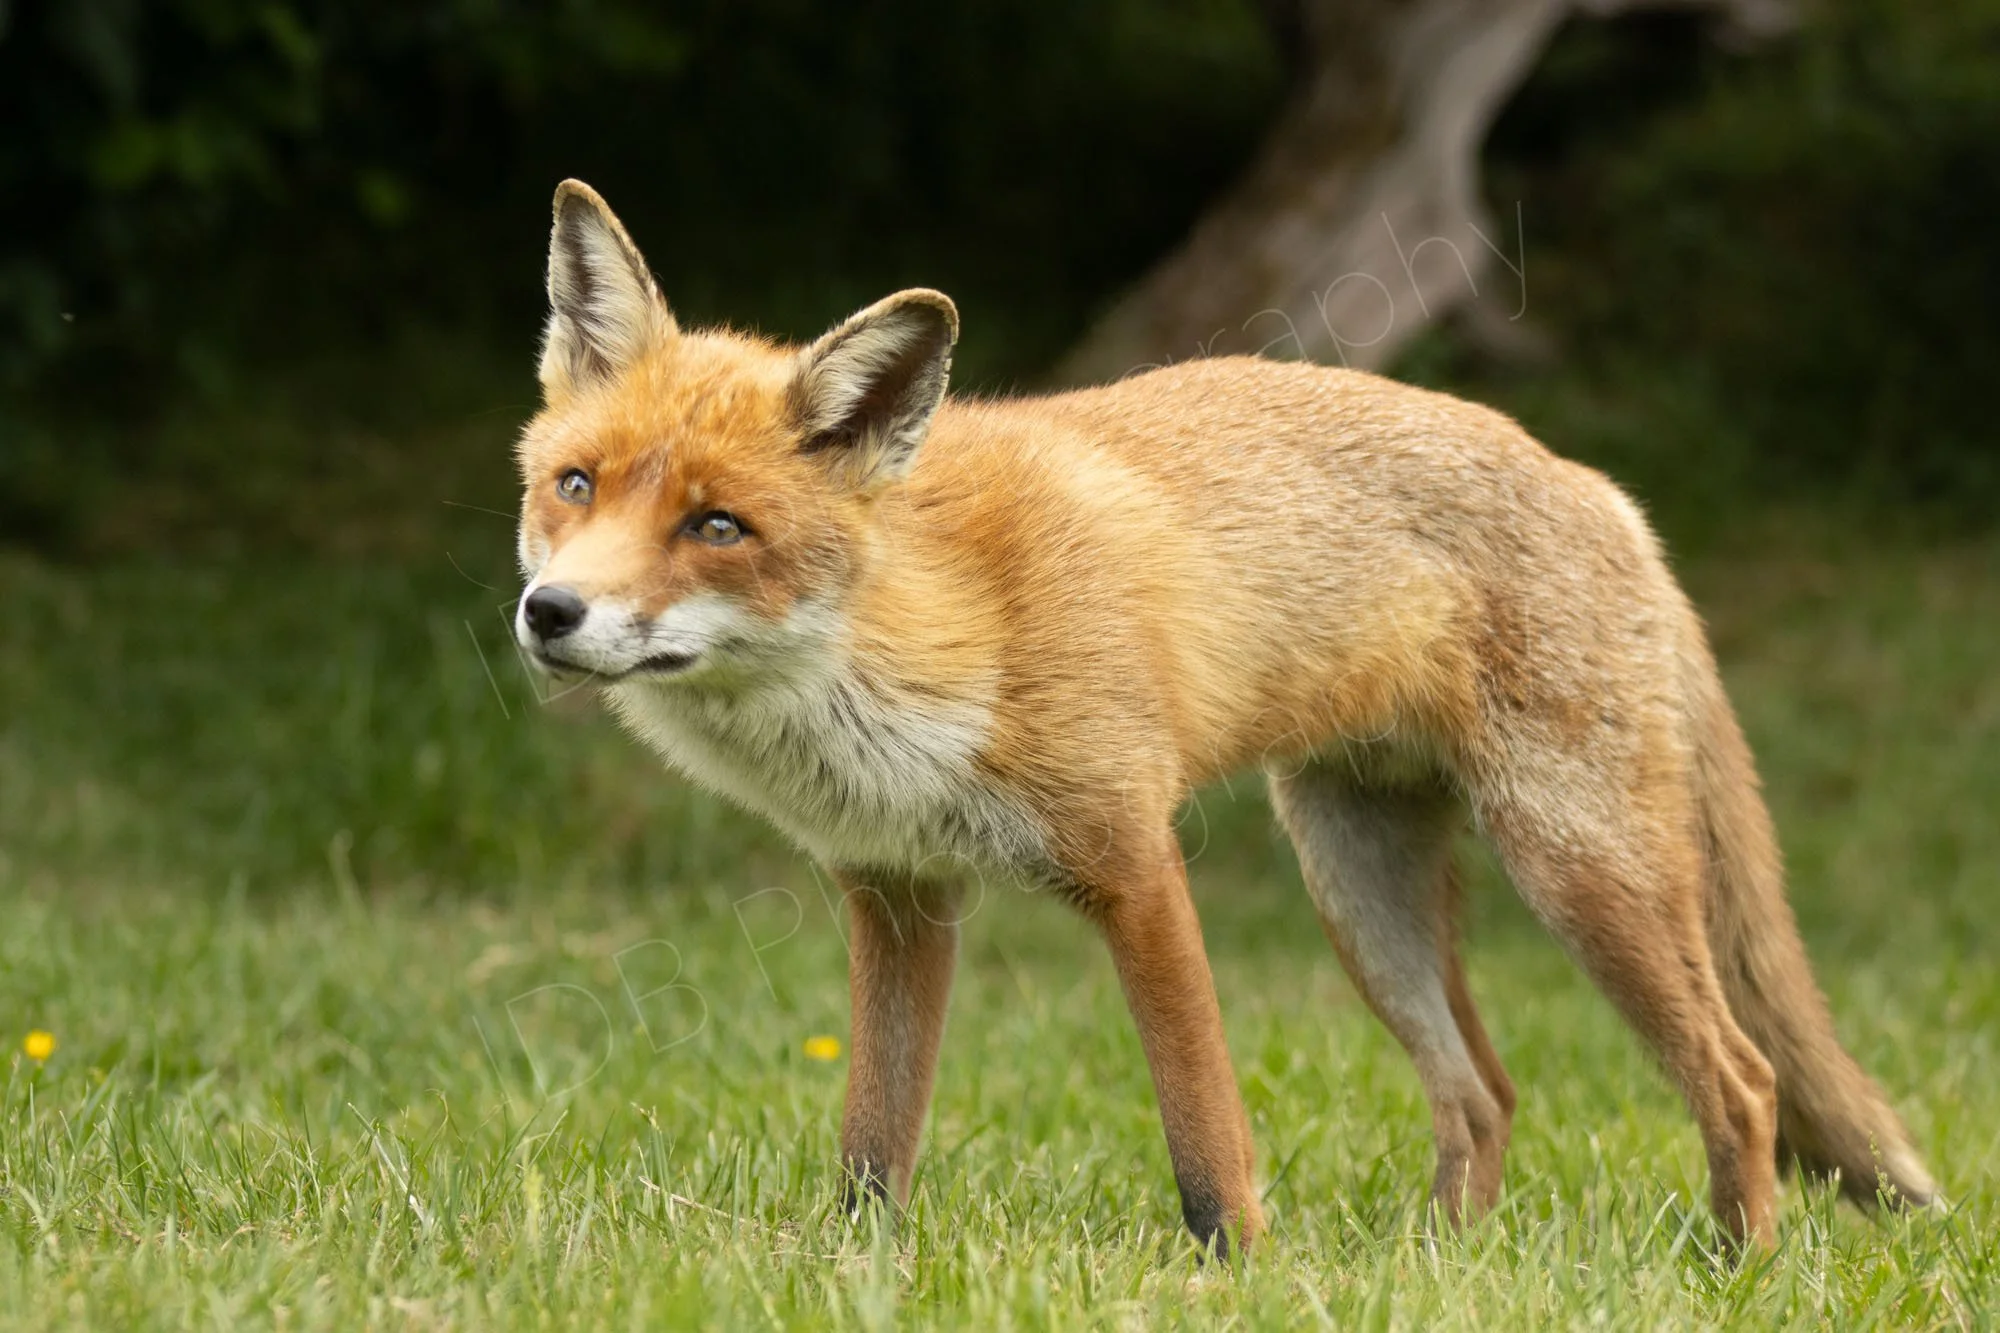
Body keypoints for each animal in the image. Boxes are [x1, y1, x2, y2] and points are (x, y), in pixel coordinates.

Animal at [512, 179, 1934, 1257]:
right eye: (575, 486)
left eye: (716, 527)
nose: (549, 611)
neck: (913, 638)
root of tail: (1599, 487)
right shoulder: (899, 894)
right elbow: (874, 1141)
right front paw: (855, 1271)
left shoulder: (1132, 855)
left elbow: (1202, 1127)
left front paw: (1236, 1267)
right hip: (1361, 888)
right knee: (1481, 1094)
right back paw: (1442, 1266)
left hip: (1581, 871)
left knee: (1742, 1078)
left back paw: (1735, 1268)